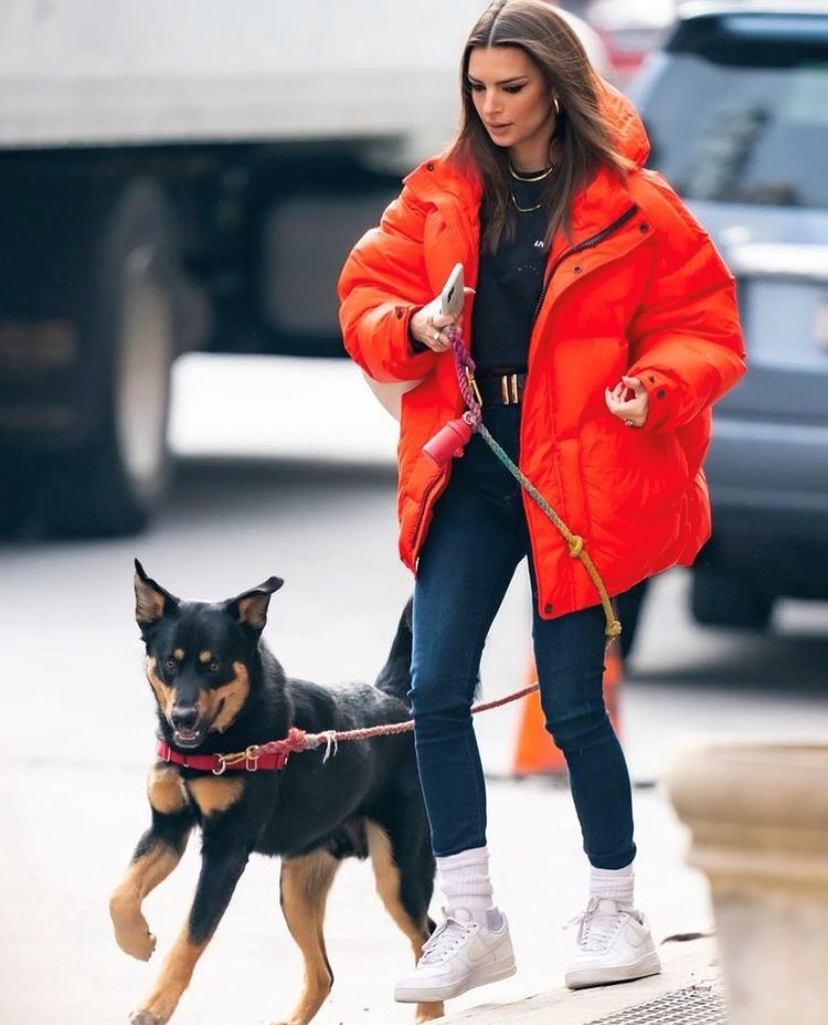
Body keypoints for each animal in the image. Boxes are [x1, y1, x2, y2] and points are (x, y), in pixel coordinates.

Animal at [114, 561, 446, 1025]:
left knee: (426, 934)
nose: (182, 717)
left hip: (398, 873)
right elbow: (121, 894)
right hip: (297, 887)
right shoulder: (166, 828)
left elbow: (191, 936)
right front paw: (136, 941)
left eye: (215, 665)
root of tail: (396, 700)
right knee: (323, 973)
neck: (219, 744)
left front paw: (154, 1004)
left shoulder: (226, 851)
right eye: (169, 663)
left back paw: (429, 1014)